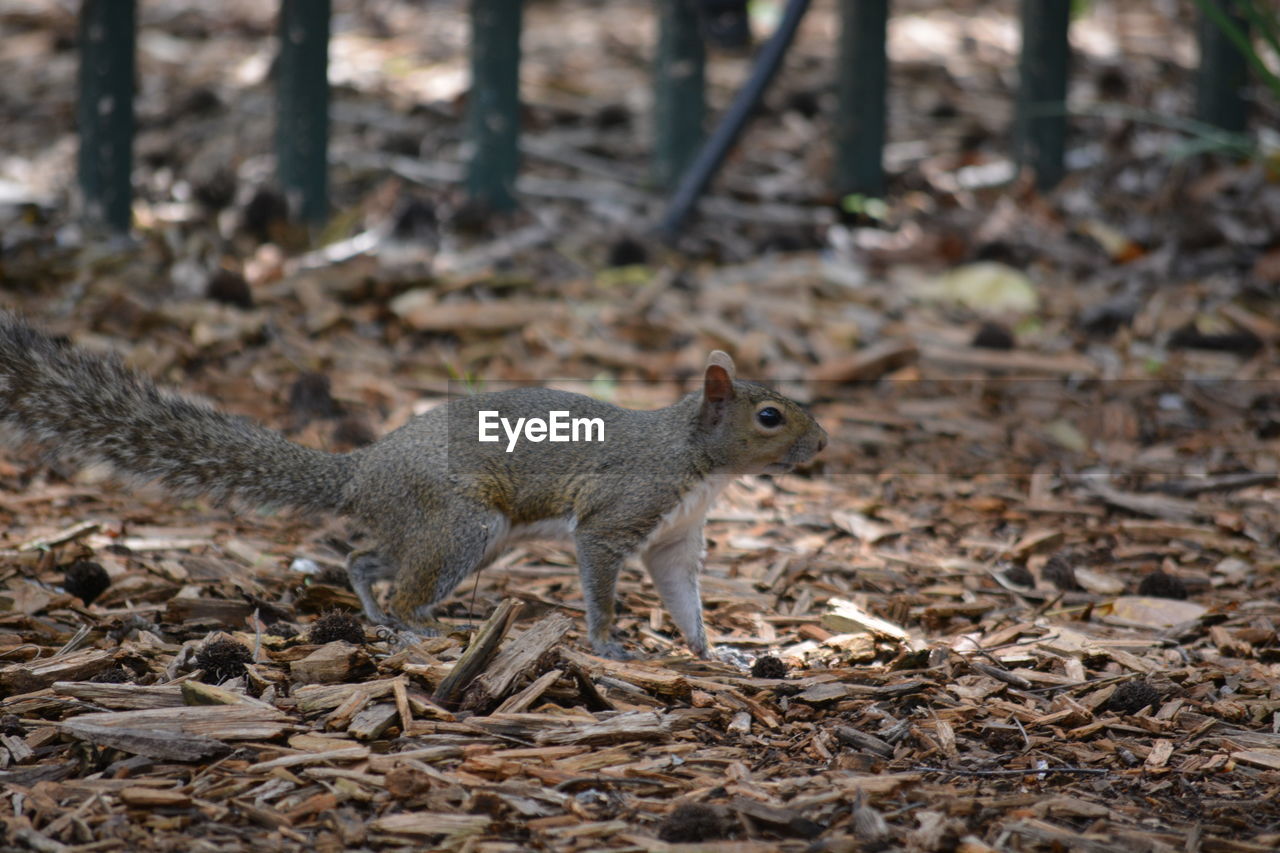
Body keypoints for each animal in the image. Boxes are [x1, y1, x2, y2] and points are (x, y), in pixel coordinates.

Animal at [0, 312, 829, 655]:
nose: (823, 443)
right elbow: (599, 575)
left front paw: (711, 652)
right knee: (393, 574)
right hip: (462, 523)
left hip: (457, 535)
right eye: (769, 415)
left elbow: (685, 597)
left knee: (364, 558)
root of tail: (364, 467)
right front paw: (607, 644)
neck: (695, 461)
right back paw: (416, 624)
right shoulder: (617, 513)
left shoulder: (675, 539)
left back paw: (383, 612)